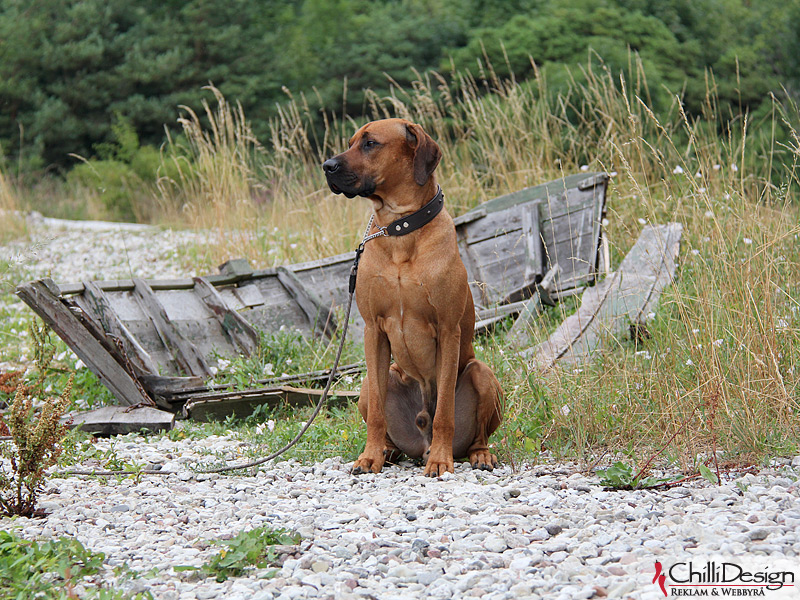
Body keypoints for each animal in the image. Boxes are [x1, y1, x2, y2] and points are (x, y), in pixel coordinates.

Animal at [324, 117, 500, 476]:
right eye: (350, 142)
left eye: (370, 143)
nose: (327, 166)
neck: (400, 229)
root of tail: (420, 442)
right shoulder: (374, 330)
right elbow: (377, 414)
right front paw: (370, 456)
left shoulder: (448, 330)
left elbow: (444, 409)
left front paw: (441, 460)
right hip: (369, 383)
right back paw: (387, 450)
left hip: (480, 372)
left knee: (476, 433)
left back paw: (477, 454)